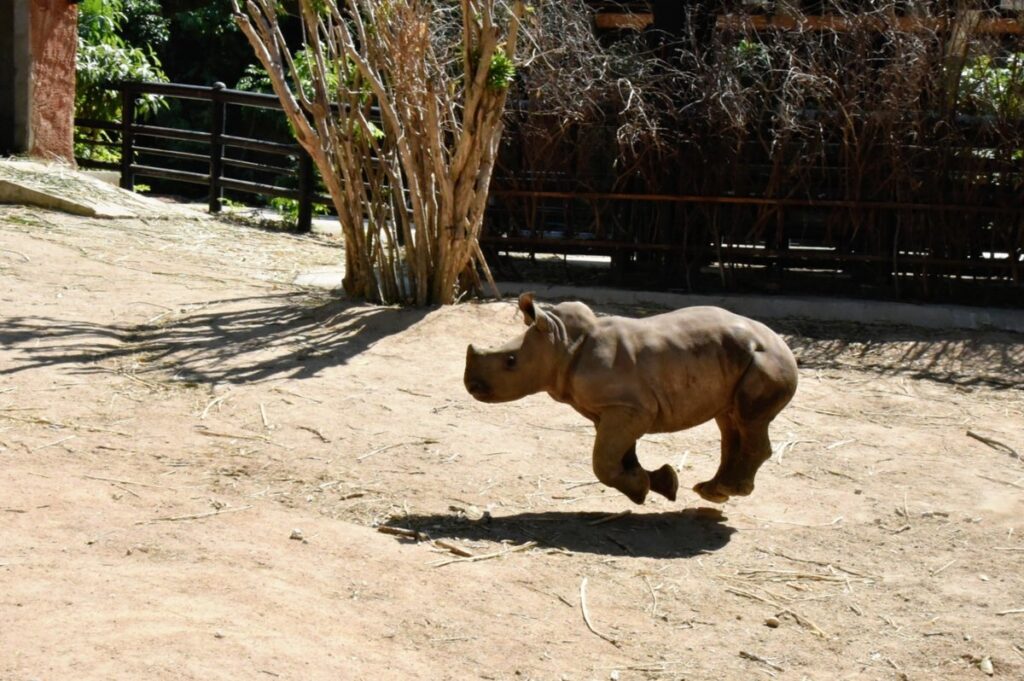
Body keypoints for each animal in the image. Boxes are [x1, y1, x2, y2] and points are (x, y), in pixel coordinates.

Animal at [466, 292, 798, 503]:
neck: (561, 343)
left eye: (510, 361)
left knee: (748, 419)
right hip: (741, 362)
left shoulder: (630, 407)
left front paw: (639, 490)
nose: (470, 385)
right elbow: (620, 454)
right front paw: (659, 484)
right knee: (729, 422)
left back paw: (726, 491)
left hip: (765, 362)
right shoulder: (614, 408)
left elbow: (603, 460)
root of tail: (783, 344)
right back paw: (712, 492)